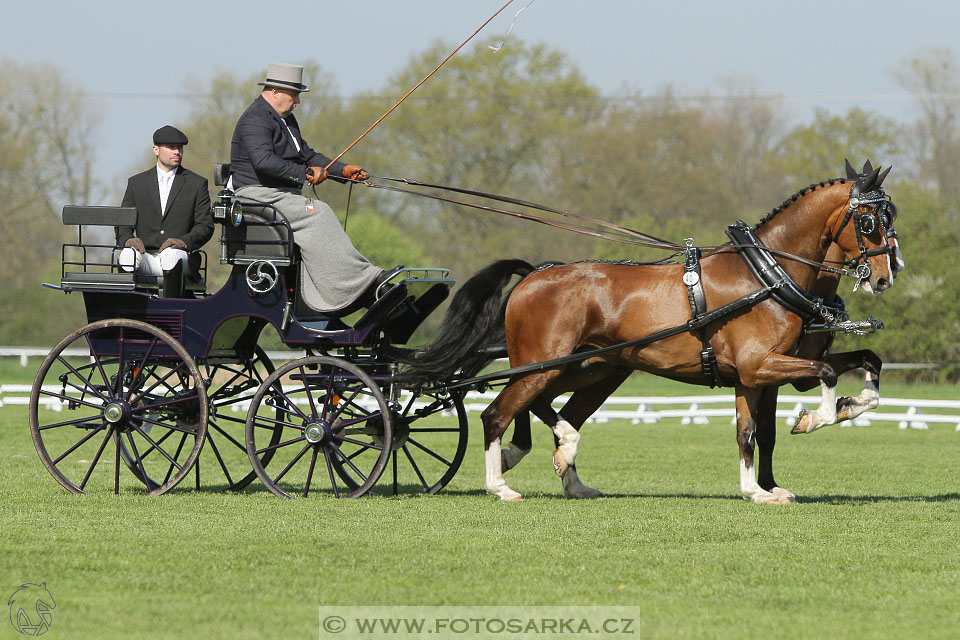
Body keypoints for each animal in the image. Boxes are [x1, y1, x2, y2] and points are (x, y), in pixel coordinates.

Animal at [402, 162, 904, 502]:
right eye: (868, 222)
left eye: (891, 215)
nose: (886, 276)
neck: (766, 275)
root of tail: (536, 274)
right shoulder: (759, 366)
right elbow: (823, 375)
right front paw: (819, 418)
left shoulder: (764, 374)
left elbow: (759, 428)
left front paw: (761, 488)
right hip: (542, 365)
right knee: (497, 413)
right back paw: (500, 484)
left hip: (589, 369)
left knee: (546, 409)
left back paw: (569, 471)